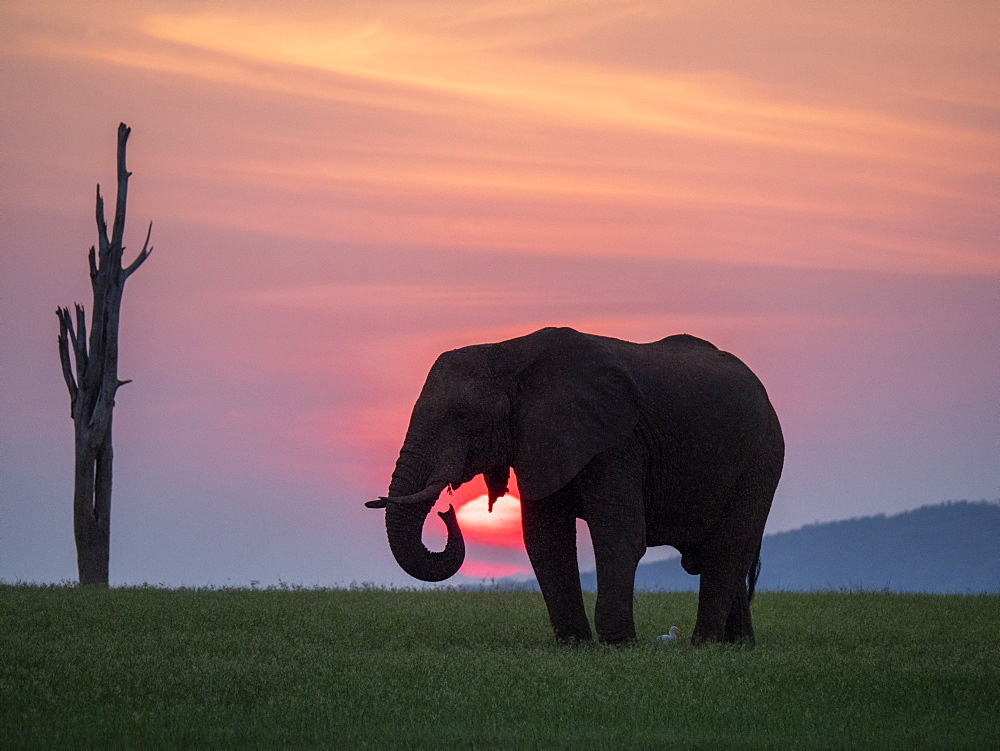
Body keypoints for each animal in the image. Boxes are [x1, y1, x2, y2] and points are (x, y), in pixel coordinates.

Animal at [364, 328, 784, 648]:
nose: (446, 510)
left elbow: (619, 534)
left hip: (762, 460)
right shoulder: (542, 442)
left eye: (464, 417)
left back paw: (704, 645)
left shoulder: (617, 441)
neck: (509, 352)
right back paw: (738, 646)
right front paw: (575, 646)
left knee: (728, 549)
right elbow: (545, 539)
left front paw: (618, 646)